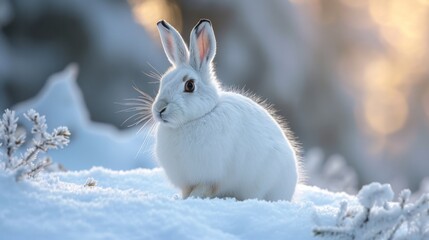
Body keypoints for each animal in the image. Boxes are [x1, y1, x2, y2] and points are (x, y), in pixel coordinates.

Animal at [152, 19, 300, 202]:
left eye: (190, 85)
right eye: (163, 81)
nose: (159, 109)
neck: (199, 117)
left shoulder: (210, 177)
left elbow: (203, 190)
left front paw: (192, 199)